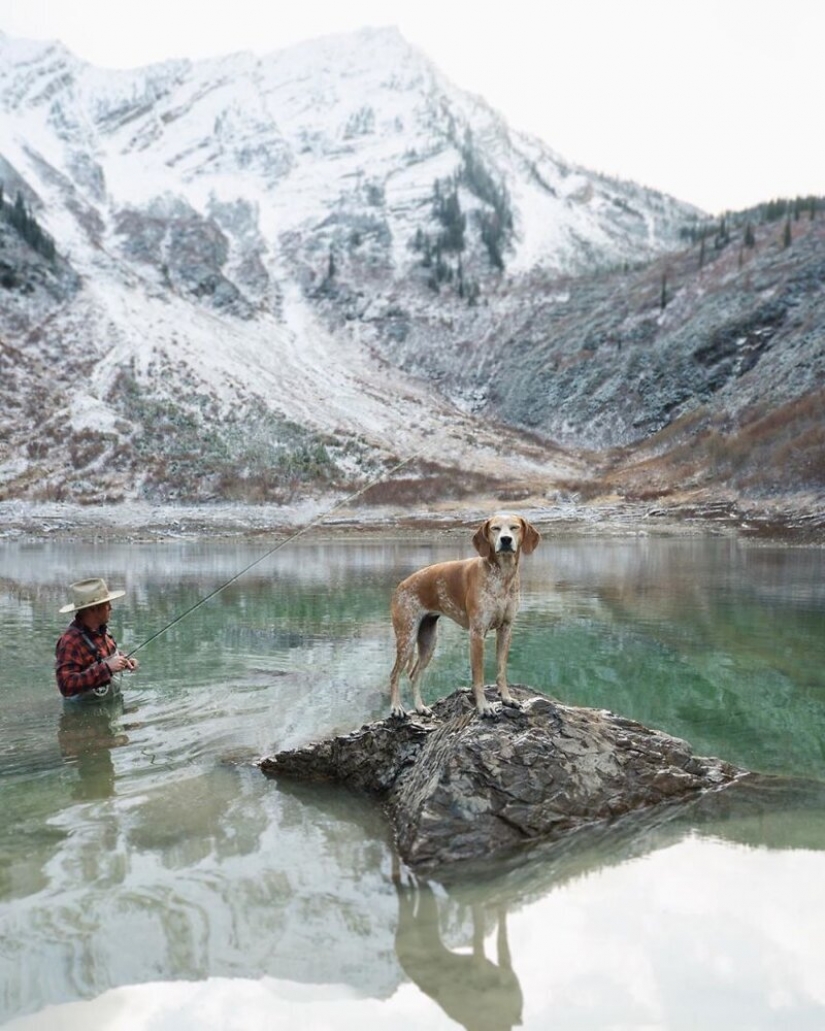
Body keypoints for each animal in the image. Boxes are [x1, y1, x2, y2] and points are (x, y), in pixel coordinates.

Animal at [387, 513, 536, 717]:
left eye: (514, 527)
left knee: (414, 675)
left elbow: (501, 671)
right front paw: (483, 706)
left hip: (428, 642)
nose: (505, 540)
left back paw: (420, 707)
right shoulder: (477, 633)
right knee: (394, 675)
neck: (502, 576)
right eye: (495, 528)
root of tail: (401, 586)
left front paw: (506, 698)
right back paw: (396, 707)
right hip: (406, 639)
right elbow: (479, 676)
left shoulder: (506, 630)